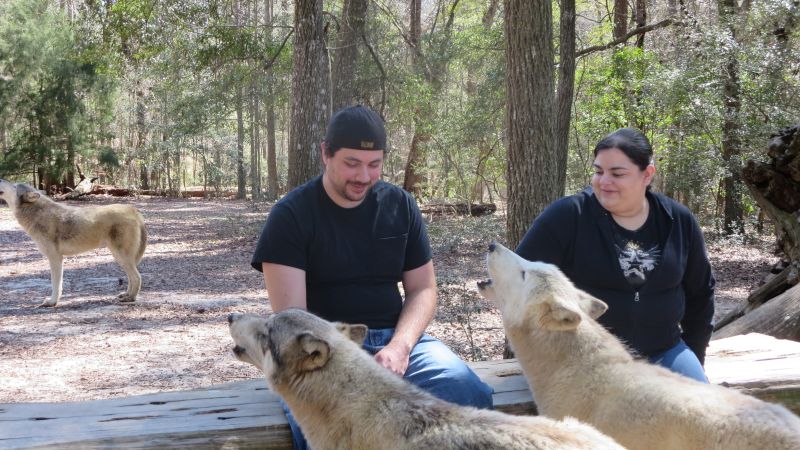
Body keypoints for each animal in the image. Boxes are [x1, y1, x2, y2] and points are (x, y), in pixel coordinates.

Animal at [0, 179, 147, 306]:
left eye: (14, 186)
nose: (1, 179)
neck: (37, 213)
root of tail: (133, 210)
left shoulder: (55, 258)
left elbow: (56, 284)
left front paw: (52, 302)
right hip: (119, 257)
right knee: (132, 277)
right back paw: (126, 295)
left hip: (121, 256)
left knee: (137, 277)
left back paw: (130, 298)